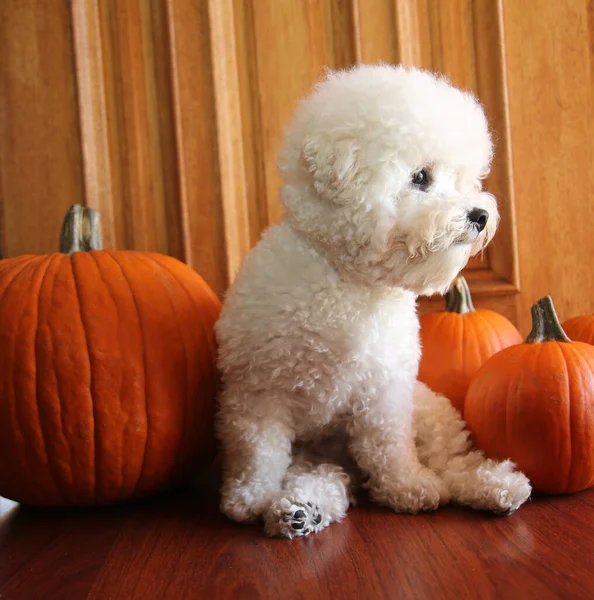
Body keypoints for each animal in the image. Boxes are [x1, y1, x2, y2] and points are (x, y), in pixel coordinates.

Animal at [215, 64, 528, 540]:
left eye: (463, 180)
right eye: (421, 177)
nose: (480, 215)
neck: (350, 284)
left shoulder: (385, 392)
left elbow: (389, 446)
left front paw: (408, 487)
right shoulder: (259, 391)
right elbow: (259, 451)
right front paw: (250, 497)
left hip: (428, 411)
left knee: (451, 463)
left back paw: (494, 487)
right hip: (314, 452)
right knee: (324, 478)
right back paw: (301, 509)